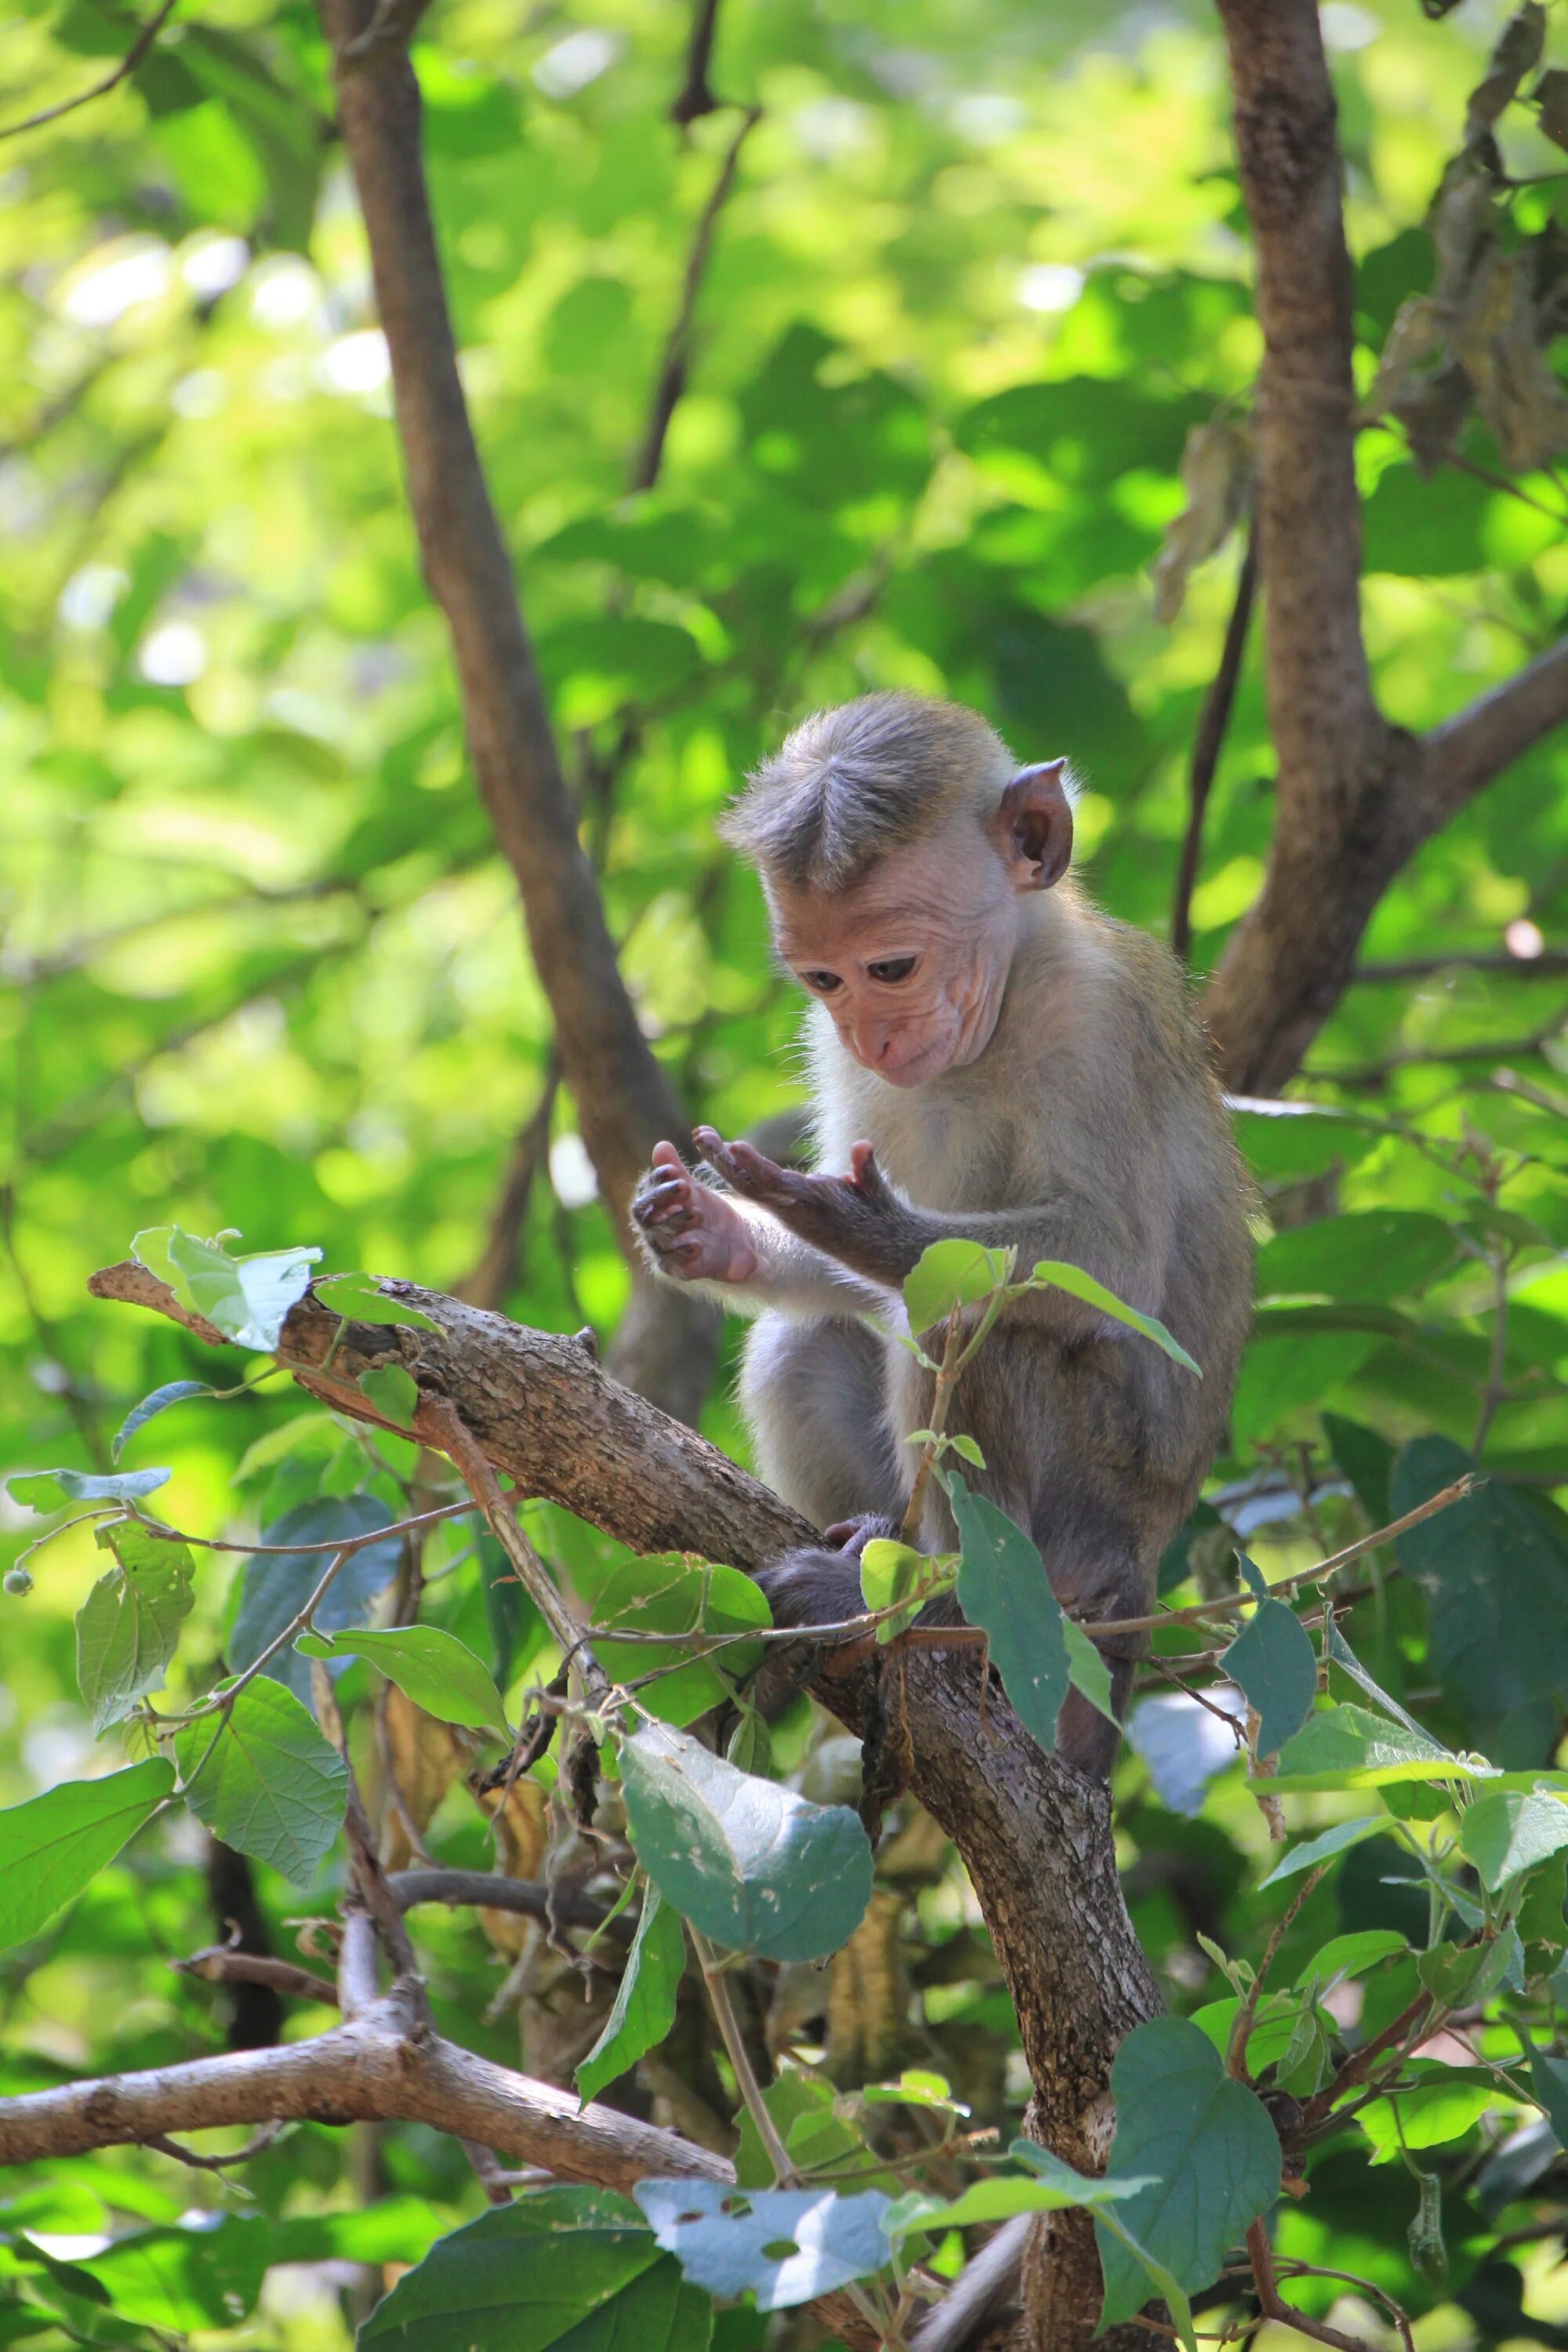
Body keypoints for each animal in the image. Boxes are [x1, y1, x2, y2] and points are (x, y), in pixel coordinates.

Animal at [625, 687, 1250, 1769]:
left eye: (892, 966)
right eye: (823, 981)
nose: (872, 1034)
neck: (1002, 1003)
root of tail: (1137, 1569)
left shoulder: (1094, 1023)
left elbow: (1107, 1263)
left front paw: (851, 1220)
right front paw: (706, 1229)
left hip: (1095, 1507)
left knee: (973, 1327)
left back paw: (941, 1604)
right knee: (804, 1344)